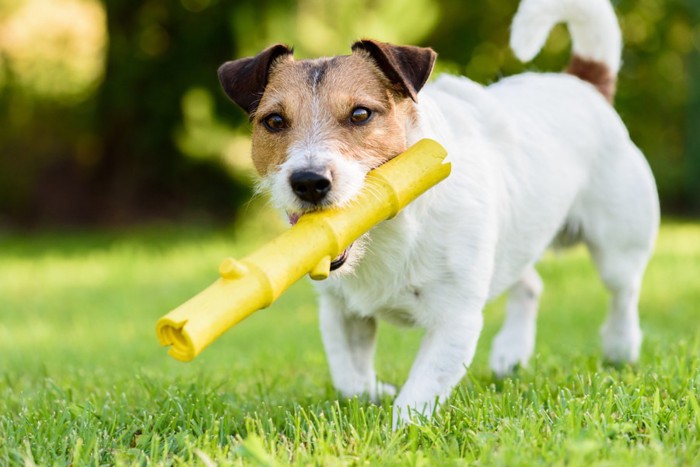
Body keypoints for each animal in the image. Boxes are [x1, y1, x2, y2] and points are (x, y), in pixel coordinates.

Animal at [216, 0, 660, 426]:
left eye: (360, 114)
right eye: (274, 121)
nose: (308, 181)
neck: (389, 230)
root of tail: (582, 84)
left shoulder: (456, 318)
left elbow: (419, 394)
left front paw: (397, 432)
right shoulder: (341, 312)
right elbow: (349, 378)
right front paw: (373, 394)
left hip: (618, 244)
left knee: (624, 292)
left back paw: (620, 348)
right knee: (530, 283)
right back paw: (510, 354)